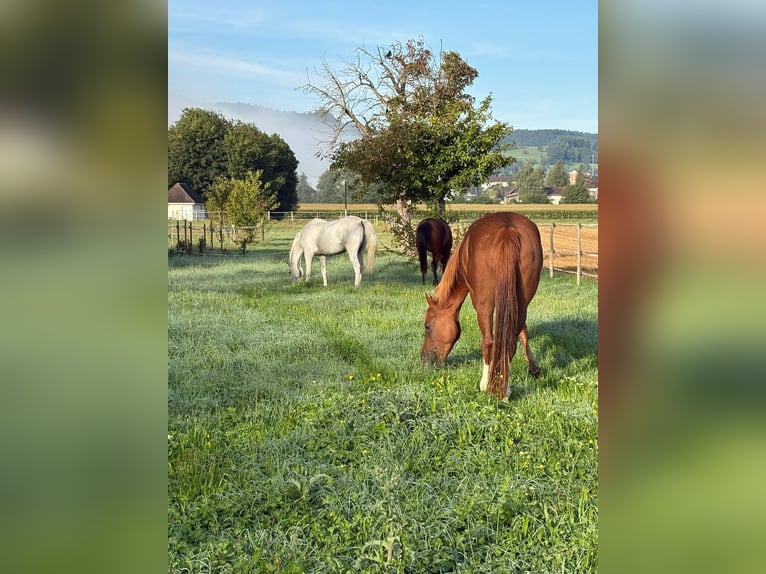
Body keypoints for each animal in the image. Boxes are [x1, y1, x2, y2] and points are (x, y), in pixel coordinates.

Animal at [420, 212, 543, 400]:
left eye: (427, 326)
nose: (424, 360)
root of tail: (507, 229)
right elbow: (523, 331)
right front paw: (533, 368)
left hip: (484, 304)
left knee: (488, 342)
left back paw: (487, 385)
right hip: (522, 301)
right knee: (511, 341)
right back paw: (505, 388)